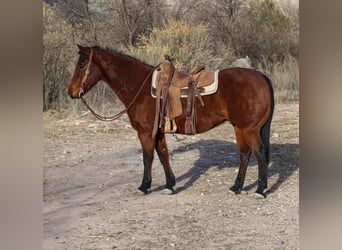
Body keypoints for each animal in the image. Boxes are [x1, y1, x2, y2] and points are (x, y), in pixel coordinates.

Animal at [68, 44, 274, 197]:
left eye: (82, 64)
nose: (71, 92)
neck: (140, 87)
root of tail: (261, 76)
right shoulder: (158, 132)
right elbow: (163, 155)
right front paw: (169, 185)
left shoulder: (145, 132)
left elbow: (148, 157)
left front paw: (144, 186)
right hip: (240, 128)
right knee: (244, 155)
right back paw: (236, 187)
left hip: (249, 129)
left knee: (259, 152)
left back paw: (260, 190)